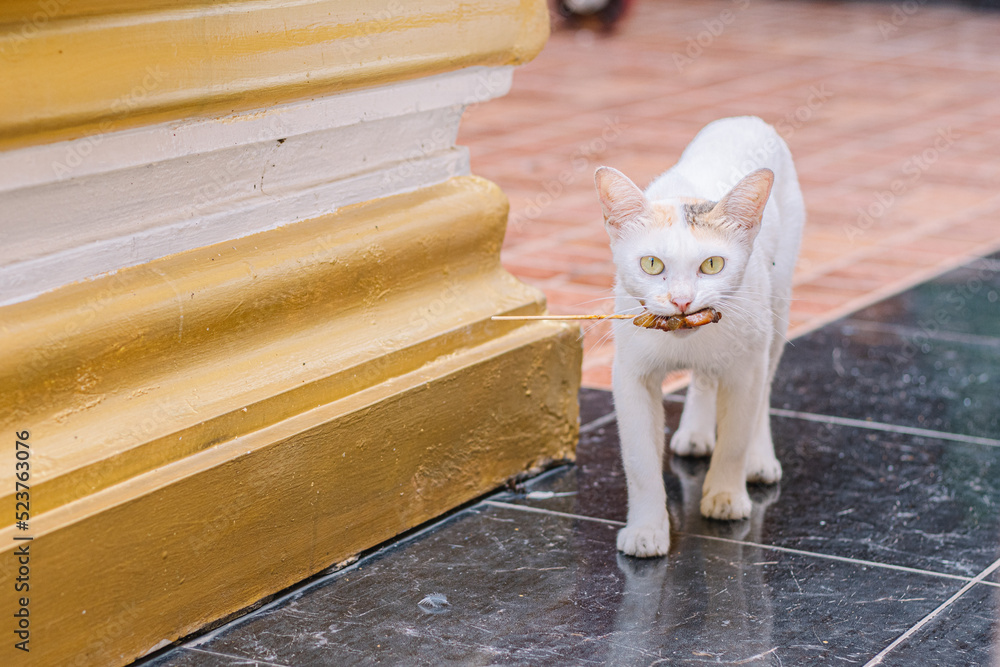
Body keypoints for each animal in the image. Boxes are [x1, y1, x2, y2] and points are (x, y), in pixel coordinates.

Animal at [592, 116, 804, 560]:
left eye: (712, 265)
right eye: (651, 264)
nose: (682, 300)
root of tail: (746, 118)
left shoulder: (746, 368)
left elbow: (736, 437)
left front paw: (725, 497)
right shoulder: (631, 375)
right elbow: (639, 461)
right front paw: (647, 529)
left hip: (777, 309)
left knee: (763, 389)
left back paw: (760, 459)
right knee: (705, 378)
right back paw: (695, 432)